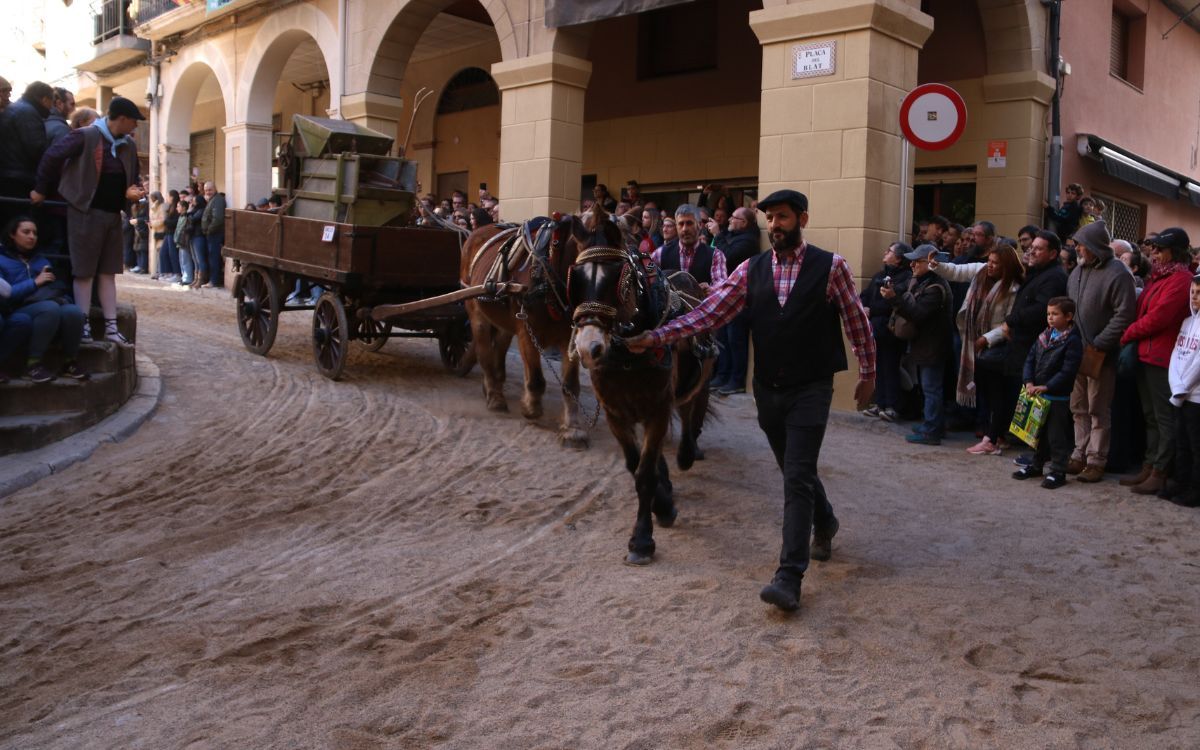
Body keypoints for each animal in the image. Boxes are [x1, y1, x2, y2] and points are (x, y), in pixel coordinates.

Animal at [458, 211, 628, 446]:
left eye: (619, 277)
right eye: (578, 276)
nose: (595, 344)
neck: (548, 276)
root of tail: (478, 231)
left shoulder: (571, 338)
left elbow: (571, 385)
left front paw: (572, 428)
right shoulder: (527, 333)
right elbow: (536, 379)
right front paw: (531, 409)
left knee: (499, 345)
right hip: (476, 312)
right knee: (484, 351)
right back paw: (494, 395)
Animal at [566, 231, 715, 564]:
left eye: (617, 279)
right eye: (575, 279)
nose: (588, 348)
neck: (627, 356)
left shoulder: (658, 410)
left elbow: (645, 473)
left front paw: (642, 540)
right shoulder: (615, 414)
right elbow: (636, 464)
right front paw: (663, 504)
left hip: (701, 378)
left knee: (692, 412)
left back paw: (687, 452)